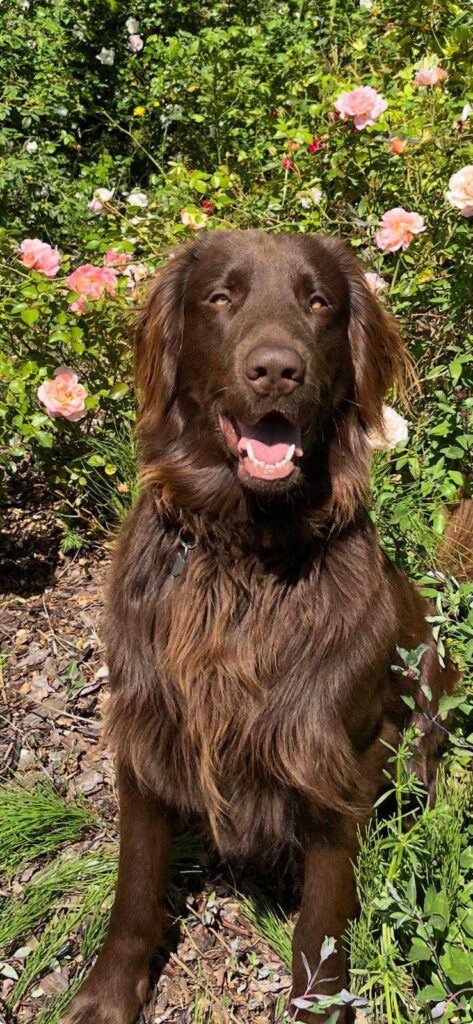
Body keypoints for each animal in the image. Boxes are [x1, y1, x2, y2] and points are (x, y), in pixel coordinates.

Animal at [65, 230, 465, 1024]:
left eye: (318, 303)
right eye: (221, 297)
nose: (277, 370)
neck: (243, 554)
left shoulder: (335, 755)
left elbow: (321, 924)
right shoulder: (146, 726)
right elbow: (135, 884)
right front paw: (107, 995)